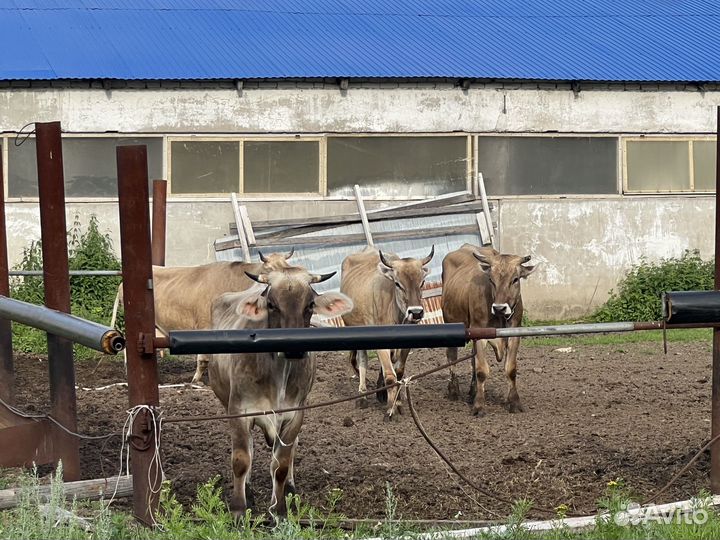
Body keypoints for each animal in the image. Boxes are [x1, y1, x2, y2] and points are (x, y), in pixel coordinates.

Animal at [208, 266, 353, 518]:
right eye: (271, 304)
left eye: (310, 305)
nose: (294, 347)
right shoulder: (239, 411)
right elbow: (241, 460)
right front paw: (239, 509)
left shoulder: (295, 414)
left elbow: (281, 464)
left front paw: (279, 510)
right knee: (249, 448)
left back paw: (290, 488)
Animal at [340, 245, 434, 419]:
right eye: (397, 283)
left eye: (422, 282)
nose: (416, 312)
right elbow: (390, 376)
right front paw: (390, 409)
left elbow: (399, 372)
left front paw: (397, 402)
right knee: (362, 361)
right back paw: (362, 394)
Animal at [441, 244, 537, 417]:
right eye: (491, 280)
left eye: (515, 279)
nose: (499, 307)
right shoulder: (479, 334)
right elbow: (481, 371)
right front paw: (479, 406)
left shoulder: (515, 334)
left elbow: (510, 369)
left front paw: (514, 402)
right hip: (451, 322)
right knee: (452, 356)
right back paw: (454, 390)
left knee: (472, 359)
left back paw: (472, 391)